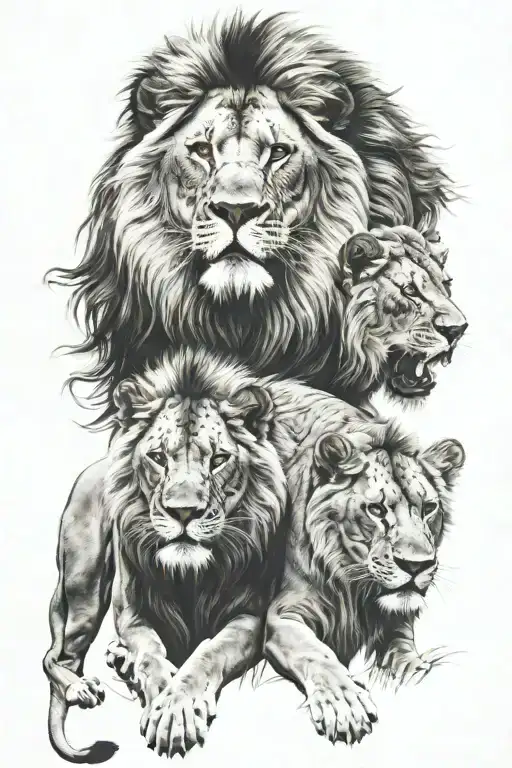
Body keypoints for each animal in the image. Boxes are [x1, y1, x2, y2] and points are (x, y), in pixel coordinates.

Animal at [43, 347, 288, 762]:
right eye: (158, 457)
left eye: (218, 459)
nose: (183, 512)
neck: (190, 576)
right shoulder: (133, 614)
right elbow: (151, 654)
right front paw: (161, 701)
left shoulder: (250, 617)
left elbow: (209, 652)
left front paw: (176, 709)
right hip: (83, 589)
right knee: (55, 656)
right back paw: (81, 687)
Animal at [264, 425, 465, 745]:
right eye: (376, 510)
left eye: (429, 508)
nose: (416, 565)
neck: (355, 590)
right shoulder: (283, 615)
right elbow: (315, 652)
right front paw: (345, 706)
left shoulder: (396, 622)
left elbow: (403, 651)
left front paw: (414, 672)